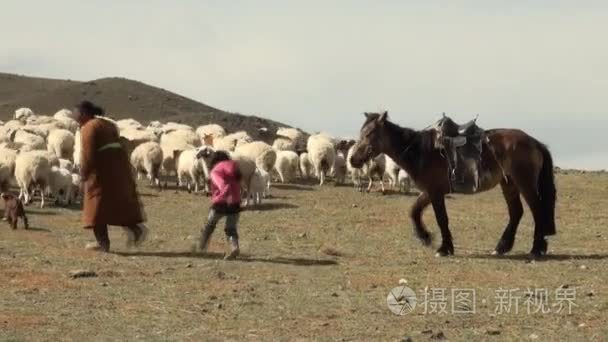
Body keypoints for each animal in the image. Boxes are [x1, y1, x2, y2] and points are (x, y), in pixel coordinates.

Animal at [350, 111, 560, 258]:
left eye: (370, 133)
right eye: (362, 132)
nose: (353, 160)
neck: (422, 151)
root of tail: (534, 142)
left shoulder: (435, 192)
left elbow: (442, 218)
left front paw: (444, 248)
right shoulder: (431, 191)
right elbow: (414, 211)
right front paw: (425, 237)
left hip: (525, 183)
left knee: (537, 210)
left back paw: (536, 248)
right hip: (509, 183)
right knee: (516, 212)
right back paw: (502, 247)